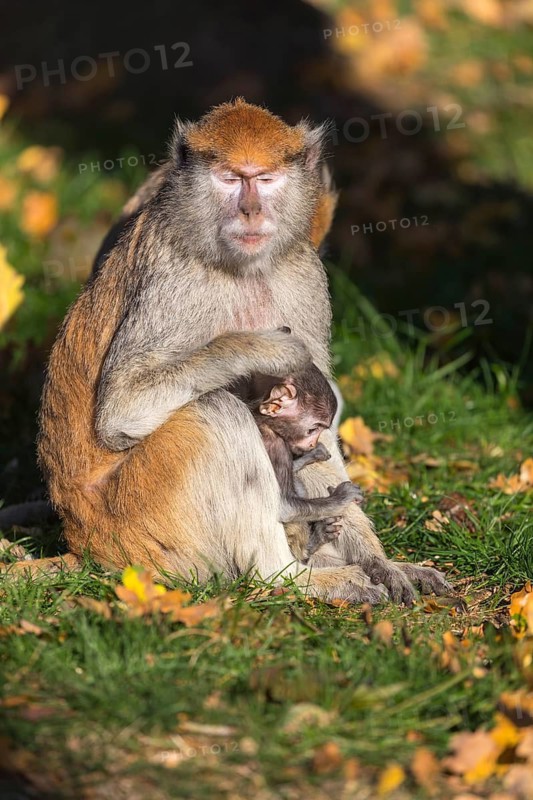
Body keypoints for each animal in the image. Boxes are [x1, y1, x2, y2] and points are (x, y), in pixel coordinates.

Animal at [38, 98, 451, 605]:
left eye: (266, 179)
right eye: (231, 179)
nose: (251, 211)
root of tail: (83, 542)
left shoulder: (303, 273)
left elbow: (323, 412)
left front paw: (382, 562)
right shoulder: (173, 279)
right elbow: (121, 411)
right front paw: (263, 348)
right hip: (138, 529)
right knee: (214, 412)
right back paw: (286, 577)